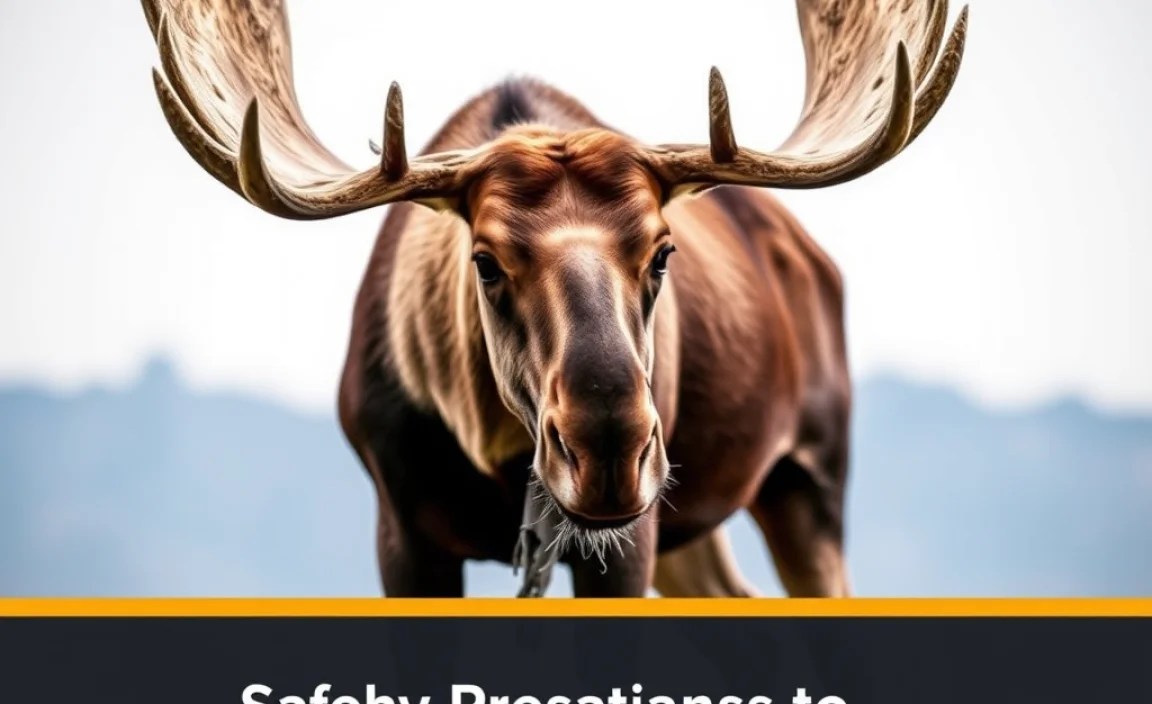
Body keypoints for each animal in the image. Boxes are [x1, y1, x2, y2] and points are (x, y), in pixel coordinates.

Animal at [142, 0, 968, 598]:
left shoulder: (624, 545)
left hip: (809, 475)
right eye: (484, 262)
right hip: (695, 523)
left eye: (663, 251)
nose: (607, 451)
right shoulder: (402, 531)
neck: (493, 457)